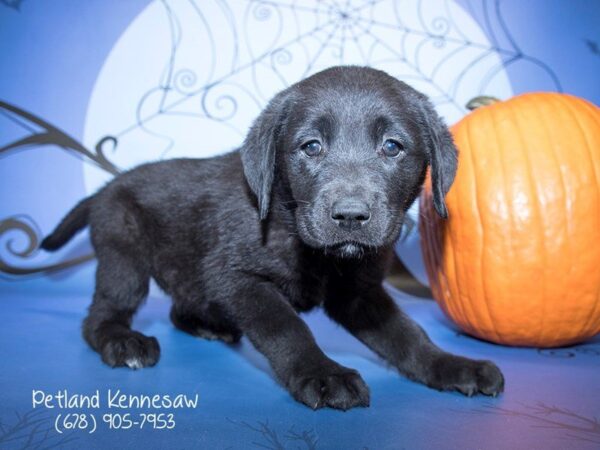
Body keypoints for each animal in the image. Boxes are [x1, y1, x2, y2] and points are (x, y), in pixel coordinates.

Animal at [39, 66, 504, 408]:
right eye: (311, 146)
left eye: (392, 147)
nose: (350, 216)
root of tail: (106, 188)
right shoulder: (239, 280)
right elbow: (287, 328)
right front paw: (323, 374)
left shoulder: (359, 295)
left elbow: (408, 335)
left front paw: (452, 366)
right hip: (124, 256)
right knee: (101, 315)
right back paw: (123, 342)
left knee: (178, 307)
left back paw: (208, 327)